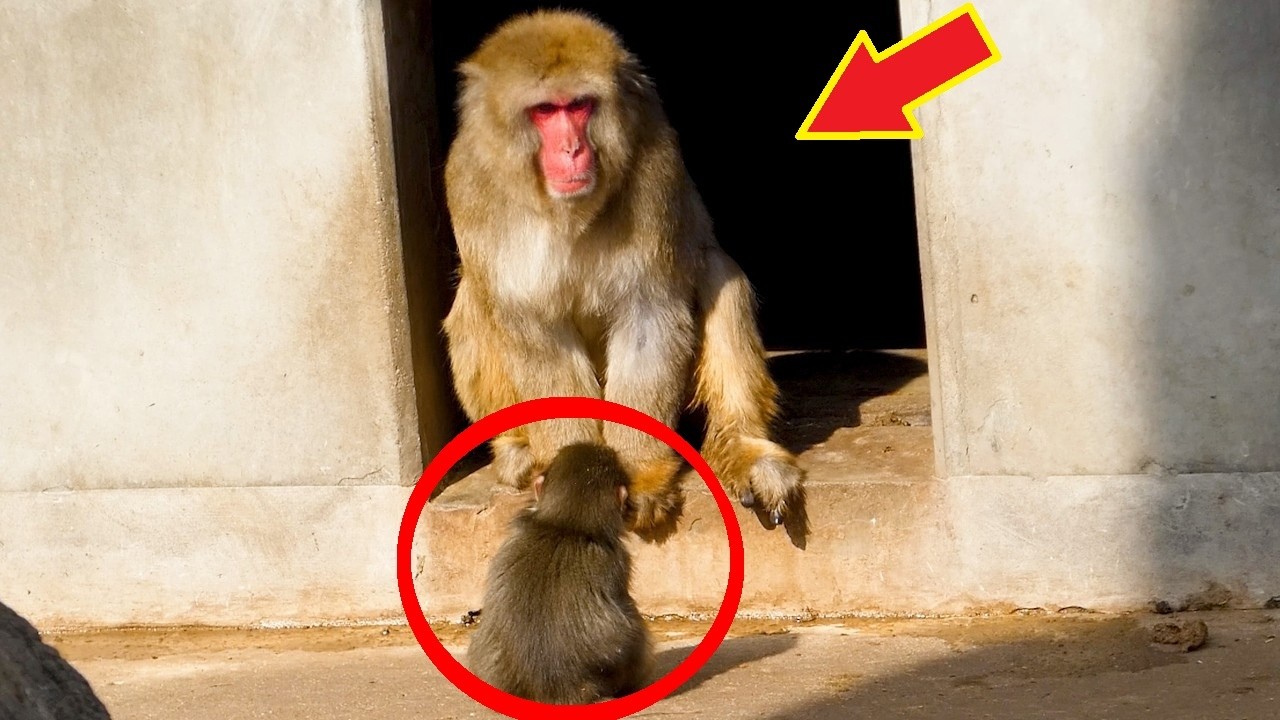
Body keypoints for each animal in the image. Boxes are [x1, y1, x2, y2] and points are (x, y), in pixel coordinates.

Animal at [442, 9, 805, 536]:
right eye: (545, 111)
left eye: (580, 106)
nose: (572, 150)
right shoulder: (470, 183)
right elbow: (533, 327)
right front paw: (564, 473)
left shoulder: (654, 166)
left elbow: (648, 314)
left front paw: (639, 474)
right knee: (474, 296)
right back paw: (517, 449)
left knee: (717, 269)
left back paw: (742, 447)